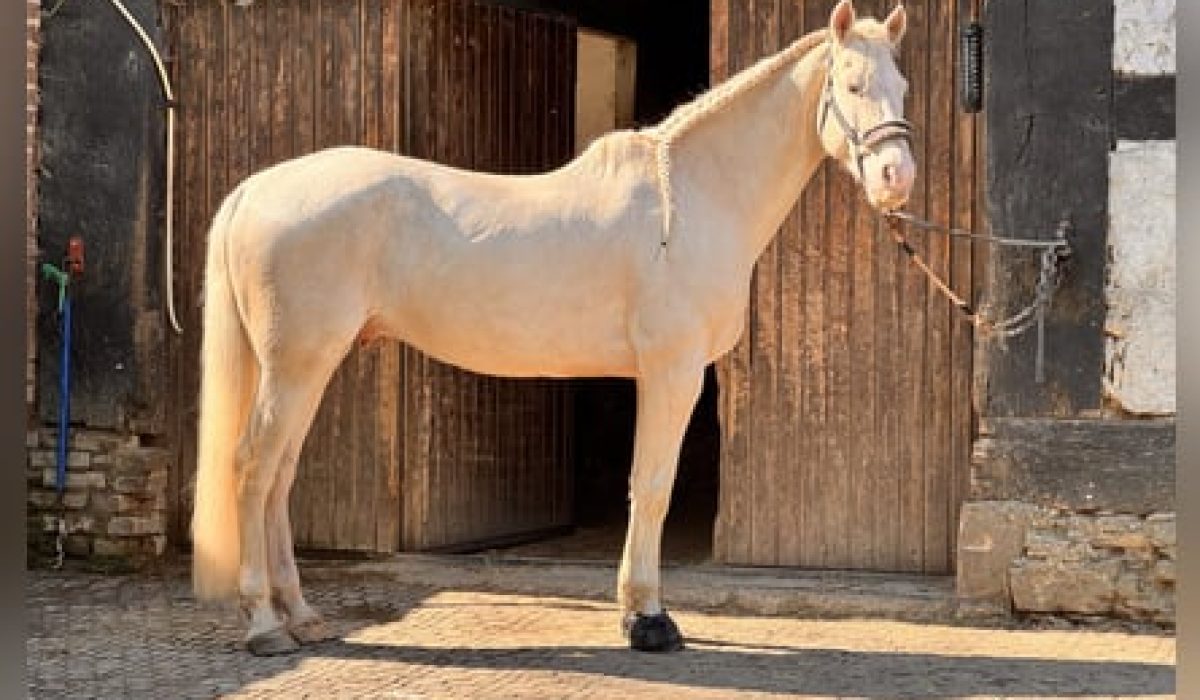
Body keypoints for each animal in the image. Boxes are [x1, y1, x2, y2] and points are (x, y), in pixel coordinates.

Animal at [191, 0, 915, 655]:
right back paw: (265, 625)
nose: (896, 177)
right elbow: (652, 486)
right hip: (295, 364)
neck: (690, 202)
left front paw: (636, 614)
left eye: (903, 86)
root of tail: (256, 189)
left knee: (280, 475)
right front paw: (649, 621)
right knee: (253, 468)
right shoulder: (672, 372)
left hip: (309, 365)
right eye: (853, 85)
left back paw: (302, 616)